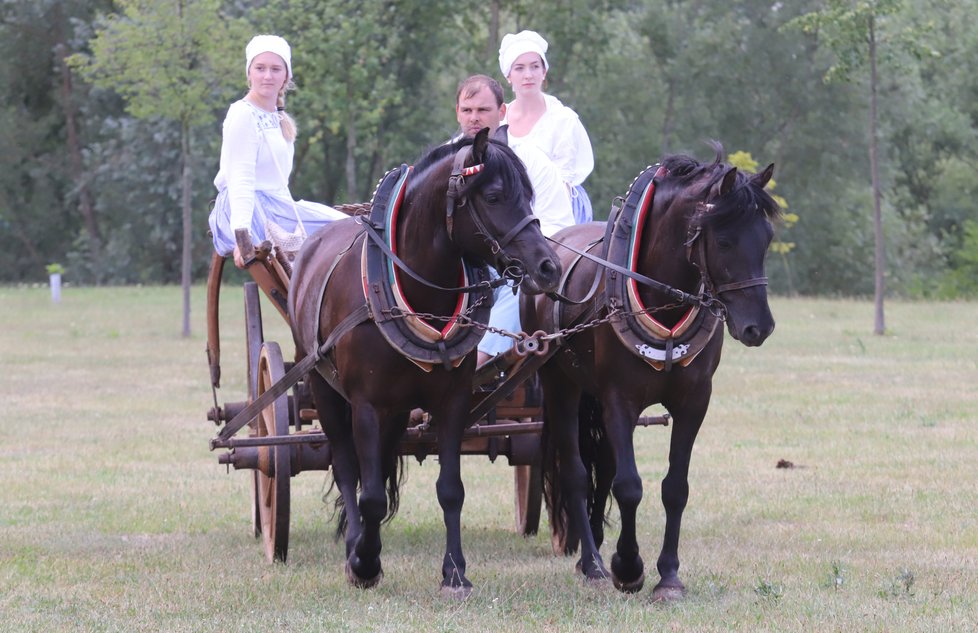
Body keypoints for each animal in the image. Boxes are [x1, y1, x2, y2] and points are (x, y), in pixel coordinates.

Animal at [286, 130, 556, 596]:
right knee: (346, 468)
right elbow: (368, 493)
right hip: (323, 386)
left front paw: (455, 571)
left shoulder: (452, 402)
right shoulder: (366, 405)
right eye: (495, 195)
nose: (549, 266)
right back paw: (356, 547)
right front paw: (364, 562)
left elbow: (449, 489)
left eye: (530, 195)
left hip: (396, 409)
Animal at [524, 147, 780, 596]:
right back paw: (592, 563)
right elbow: (629, 486)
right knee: (576, 472)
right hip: (561, 386)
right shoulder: (619, 400)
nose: (759, 327)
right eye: (724, 240)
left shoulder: (694, 402)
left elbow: (674, 488)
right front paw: (628, 567)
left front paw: (669, 576)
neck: (663, 299)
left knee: (603, 468)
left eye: (766, 238)